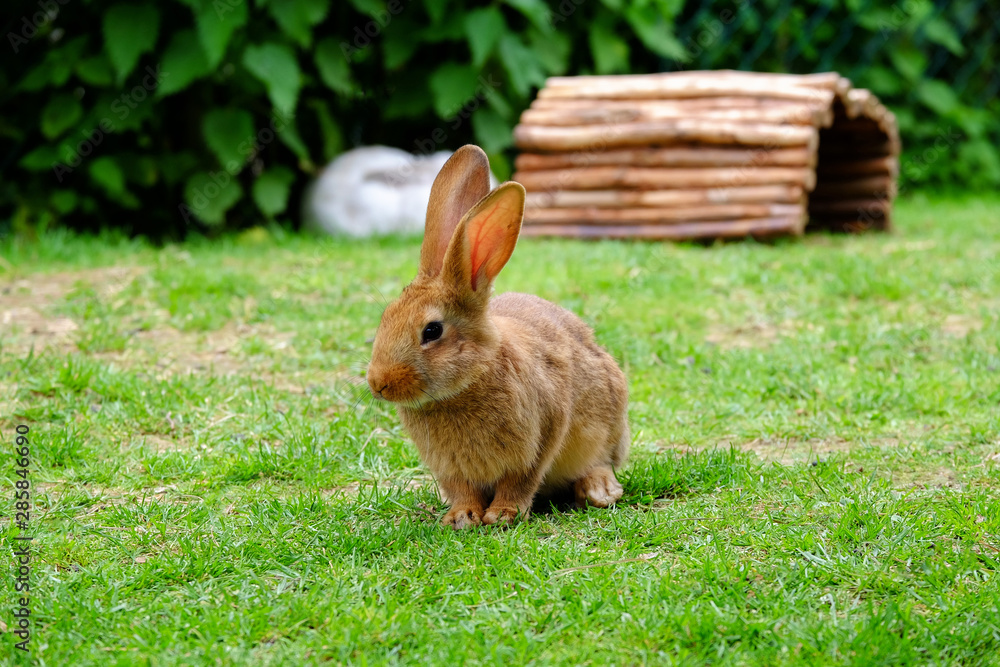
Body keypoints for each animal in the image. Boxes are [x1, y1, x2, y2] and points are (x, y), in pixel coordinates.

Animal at [366, 145, 629, 529]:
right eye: (386, 318)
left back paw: (599, 490)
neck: (469, 380)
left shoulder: (541, 436)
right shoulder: (450, 467)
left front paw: (504, 514)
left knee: (602, 462)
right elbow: (462, 489)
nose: (378, 384)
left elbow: (520, 480)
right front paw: (461, 516)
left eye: (432, 331)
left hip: (609, 423)